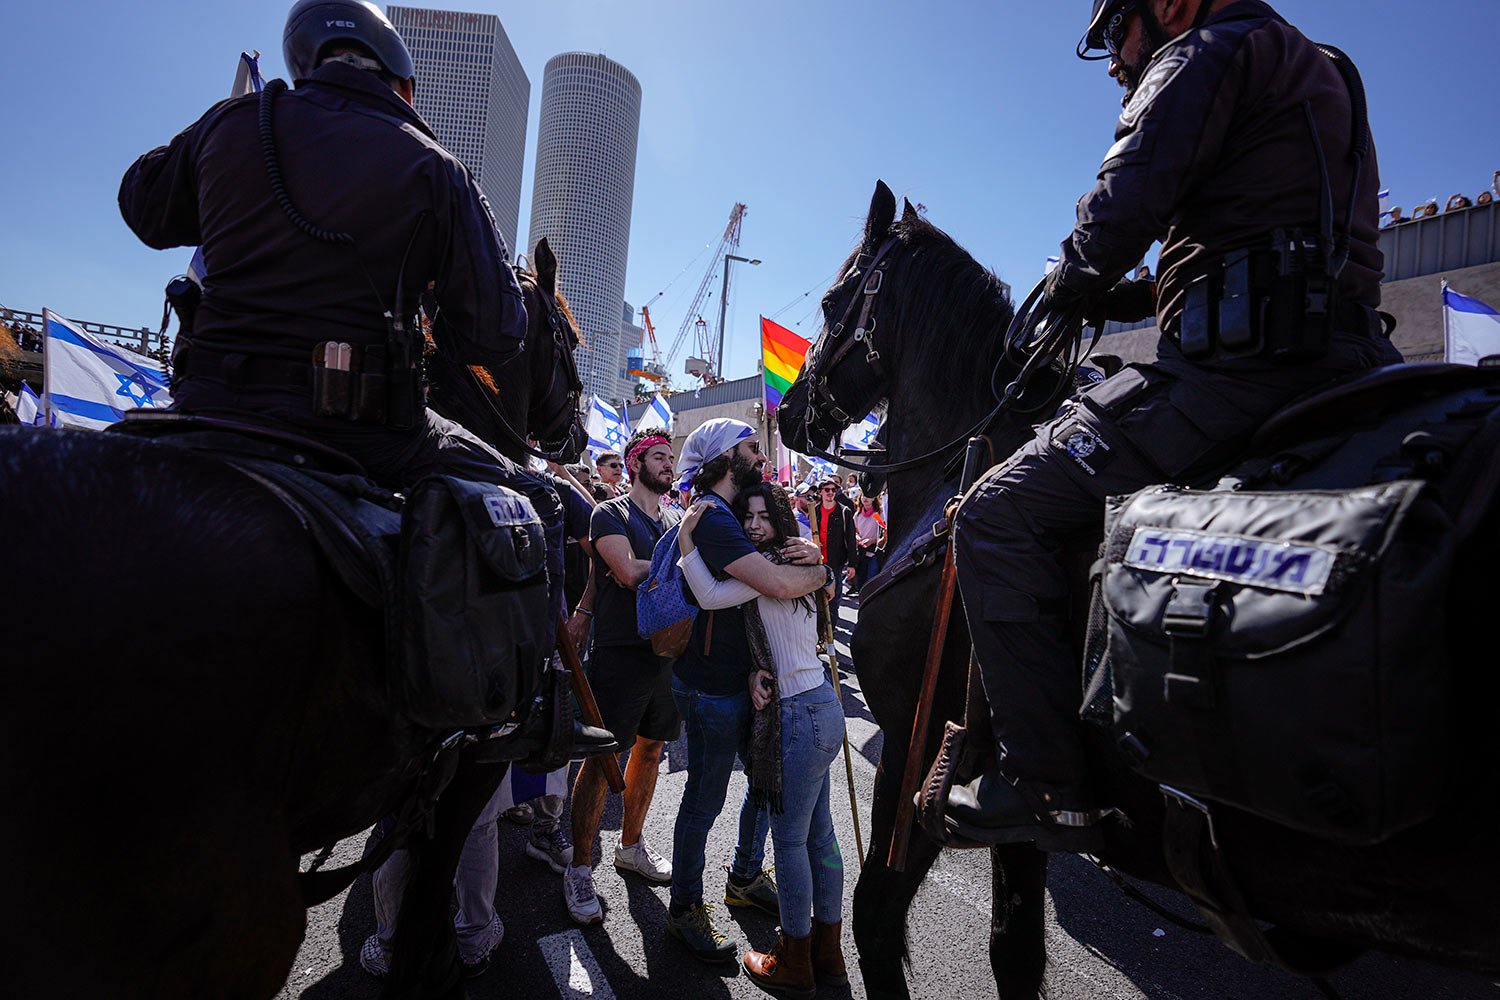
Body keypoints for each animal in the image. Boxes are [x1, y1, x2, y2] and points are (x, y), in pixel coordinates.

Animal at [780, 179, 1500, 1000]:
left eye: (833, 302)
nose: (789, 415)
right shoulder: (1022, 801)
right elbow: (1016, 945)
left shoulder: (917, 744)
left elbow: (876, 913)